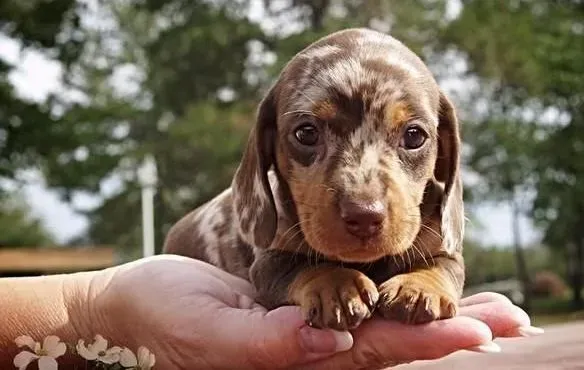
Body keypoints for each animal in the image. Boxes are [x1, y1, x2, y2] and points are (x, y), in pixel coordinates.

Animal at [164, 27, 466, 330]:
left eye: (414, 136)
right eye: (306, 133)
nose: (364, 216)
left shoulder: (443, 247)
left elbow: (438, 265)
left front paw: (417, 287)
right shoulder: (270, 260)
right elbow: (307, 265)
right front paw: (338, 286)